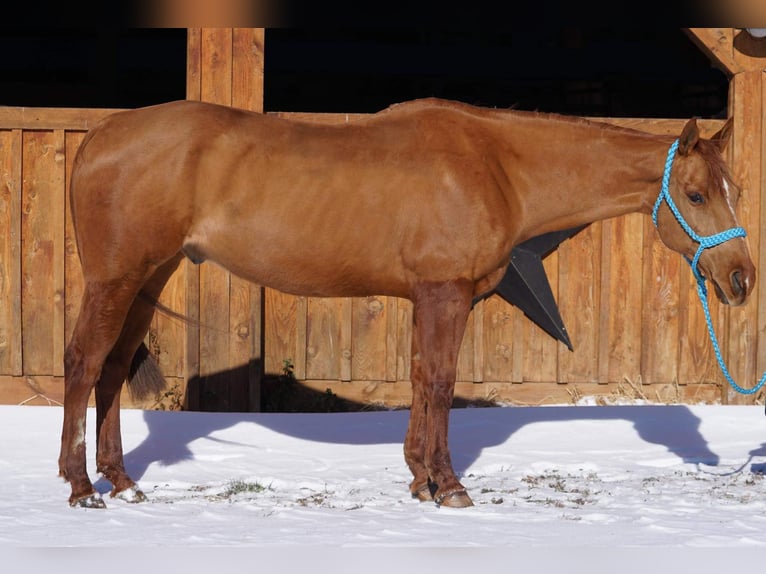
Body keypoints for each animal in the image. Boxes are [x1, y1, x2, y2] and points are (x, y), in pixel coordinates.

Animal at [61, 97, 756, 510]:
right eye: (695, 195)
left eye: (735, 189)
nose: (742, 278)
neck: (495, 165)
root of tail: (99, 136)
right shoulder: (446, 292)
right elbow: (442, 381)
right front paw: (449, 486)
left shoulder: (435, 296)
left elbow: (422, 377)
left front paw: (421, 479)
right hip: (116, 280)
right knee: (83, 364)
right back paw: (80, 486)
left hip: (149, 279)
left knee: (113, 371)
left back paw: (121, 482)